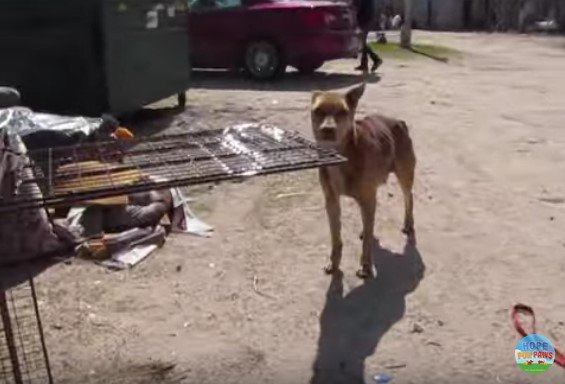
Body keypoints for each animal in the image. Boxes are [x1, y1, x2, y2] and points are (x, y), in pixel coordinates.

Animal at [308, 82, 414, 278]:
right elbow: (336, 238)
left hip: (404, 175)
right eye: (318, 111)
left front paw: (365, 266)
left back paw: (408, 224)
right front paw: (334, 263)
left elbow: (366, 245)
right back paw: (366, 231)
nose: (327, 130)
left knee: (408, 198)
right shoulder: (331, 201)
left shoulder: (367, 198)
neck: (341, 156)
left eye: (342, 112)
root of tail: (398, 121)